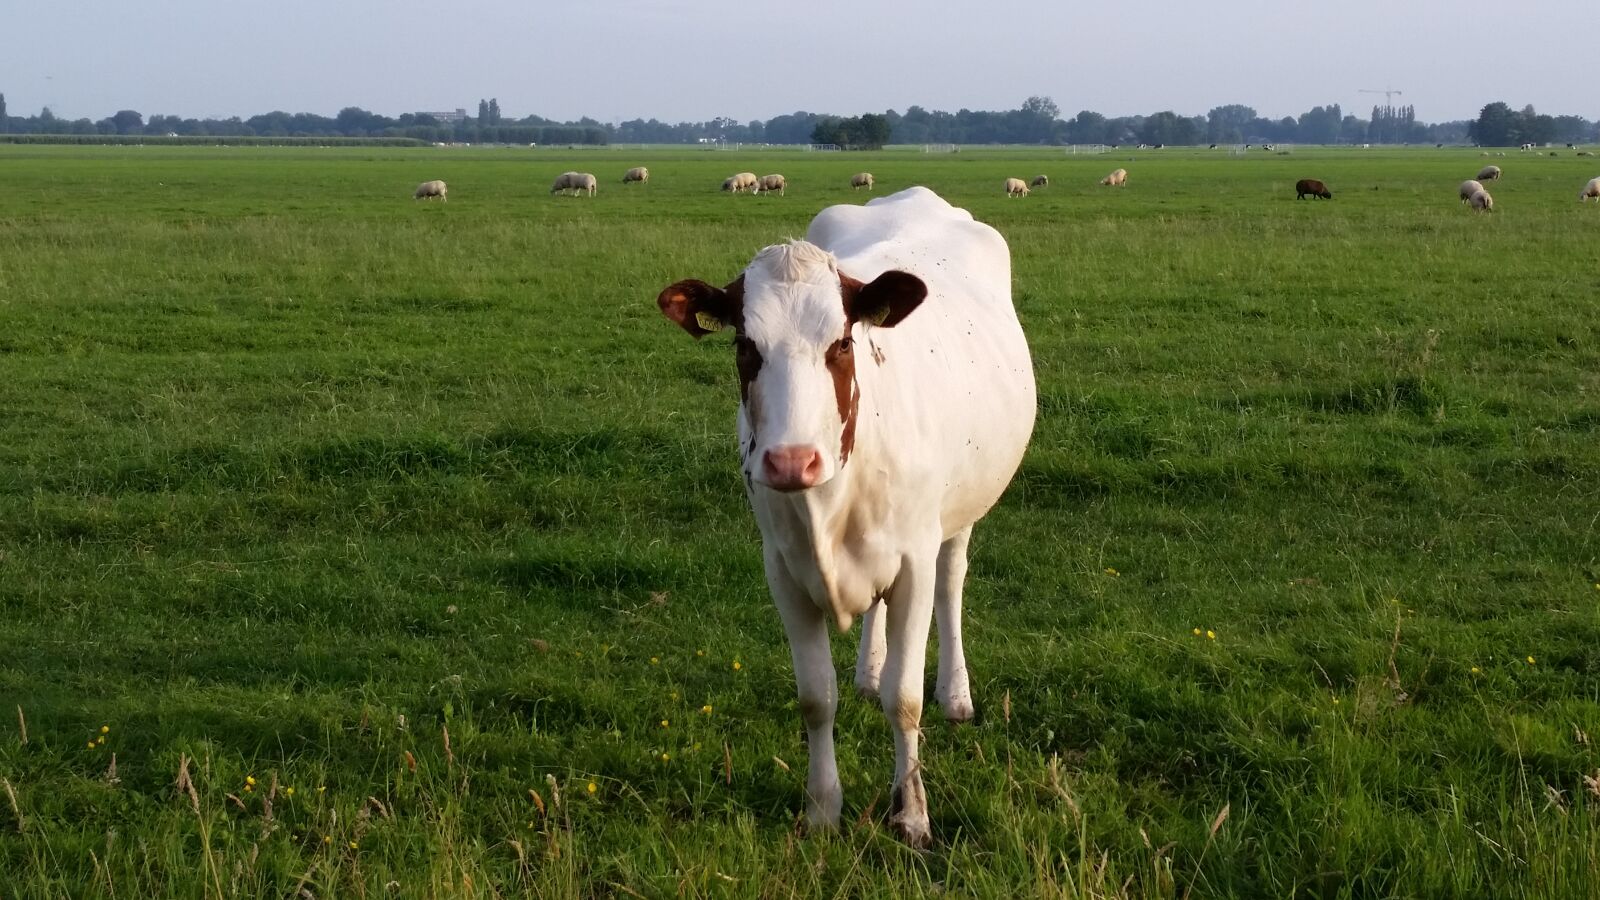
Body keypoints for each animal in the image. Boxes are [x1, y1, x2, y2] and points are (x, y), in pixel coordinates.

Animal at [654, 187, 1036, 848]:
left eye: (840, 343)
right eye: (745, 347)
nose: (791, 460)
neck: (826, 506)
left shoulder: (913, 563)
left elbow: (904, 698)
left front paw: (911, 813)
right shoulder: (783, 571)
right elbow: (815, 698)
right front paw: (821, 808)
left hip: (961, 512)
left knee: (952, 583)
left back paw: (955, 693)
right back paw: (868, 671)